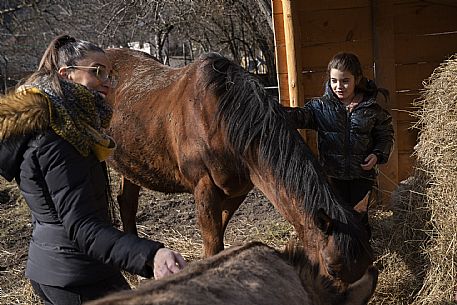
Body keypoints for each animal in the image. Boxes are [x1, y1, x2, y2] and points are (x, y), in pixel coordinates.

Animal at [106, 47, 374, 282]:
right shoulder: (204, 189)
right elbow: (213, 243)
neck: (223, 120)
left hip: (131, 165)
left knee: (127, 203)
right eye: (332, 268)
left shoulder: (236, 190)